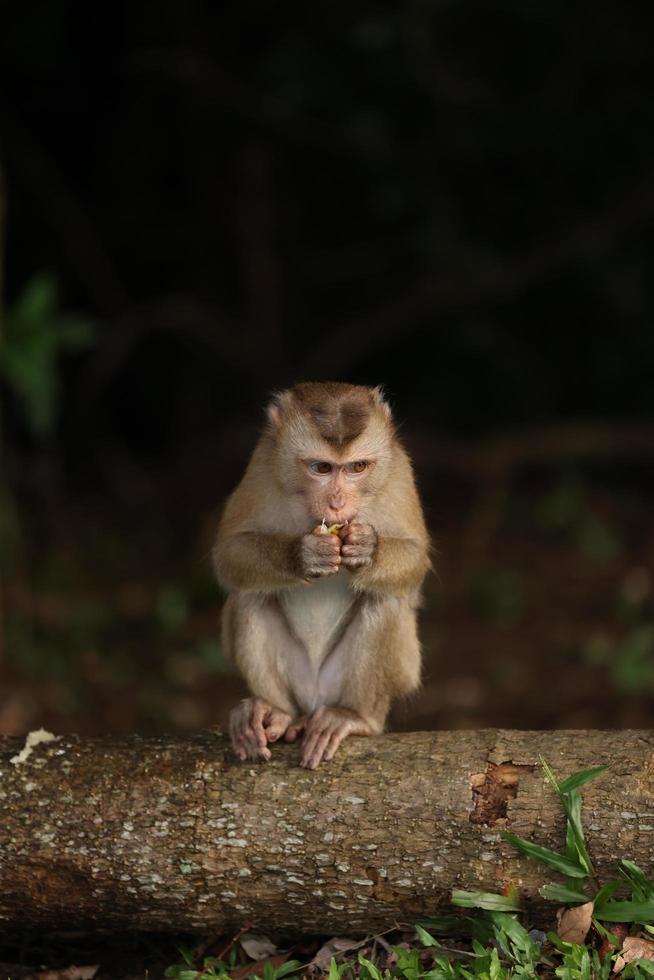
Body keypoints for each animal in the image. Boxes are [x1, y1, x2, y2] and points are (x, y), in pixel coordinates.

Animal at [213, 378, 434, 768]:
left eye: (357, 467)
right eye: (321, 468)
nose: (337, 503)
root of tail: (313, 700)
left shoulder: (397, 470)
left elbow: (415, 558)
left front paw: (366, 550)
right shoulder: (263, 464)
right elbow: (230, 552)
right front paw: (304, 555)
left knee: (382, 600)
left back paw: (353, 717)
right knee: (251, 596)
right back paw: (274, 712)